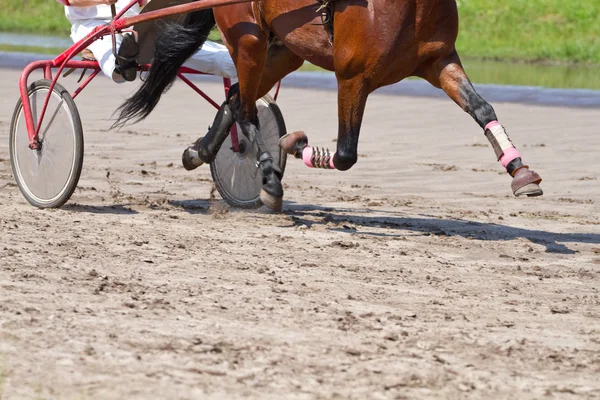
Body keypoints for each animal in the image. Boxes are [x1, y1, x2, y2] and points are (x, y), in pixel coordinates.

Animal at [115, 0, 540, 211]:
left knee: (235, 99)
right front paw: (295, 146)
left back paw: (200, 151)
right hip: (250, 42)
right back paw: (267, 176)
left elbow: (482, 109)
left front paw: (520, 171)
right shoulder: (352, 78)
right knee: (247, 108)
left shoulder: (439, 61)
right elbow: (346, 153)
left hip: (283, 50)